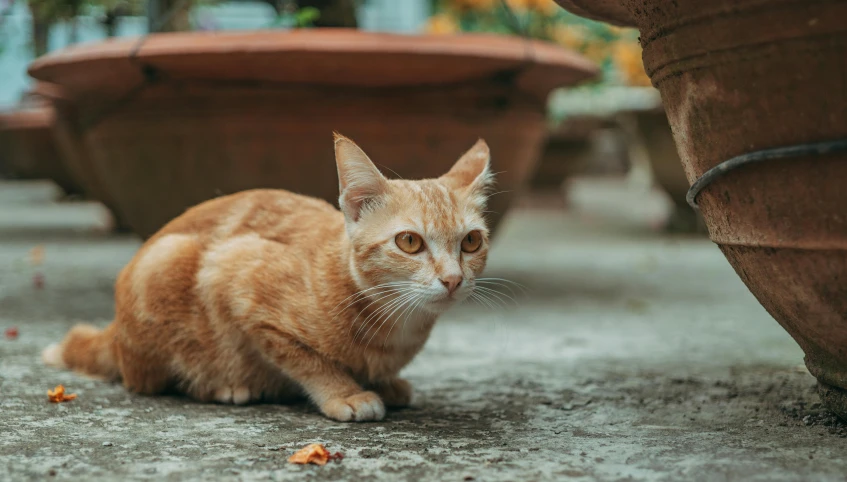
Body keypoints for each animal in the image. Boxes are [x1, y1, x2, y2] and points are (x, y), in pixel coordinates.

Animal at [44, 133, 496, 422]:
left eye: (471, 242)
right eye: (409, 242)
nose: (453, 279)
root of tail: (115, 331)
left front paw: (384, 382)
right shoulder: (236, 277)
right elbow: (307, 360)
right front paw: (346, 392)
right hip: (167, 263)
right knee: (153, 380)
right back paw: (225, 387)